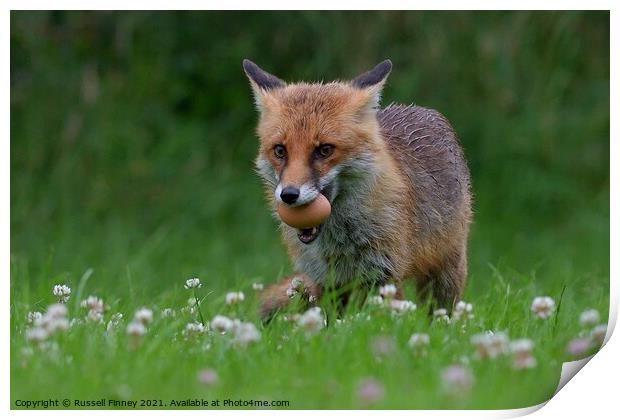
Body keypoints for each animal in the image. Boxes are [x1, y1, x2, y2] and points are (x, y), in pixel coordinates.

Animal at [245, 58, 472, 316]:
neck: (339, 242)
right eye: (280, 151)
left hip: (446, 272)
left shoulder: (385, 274)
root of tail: (423, 110)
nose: (289, 195)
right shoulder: (326, 280)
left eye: (325, 150)